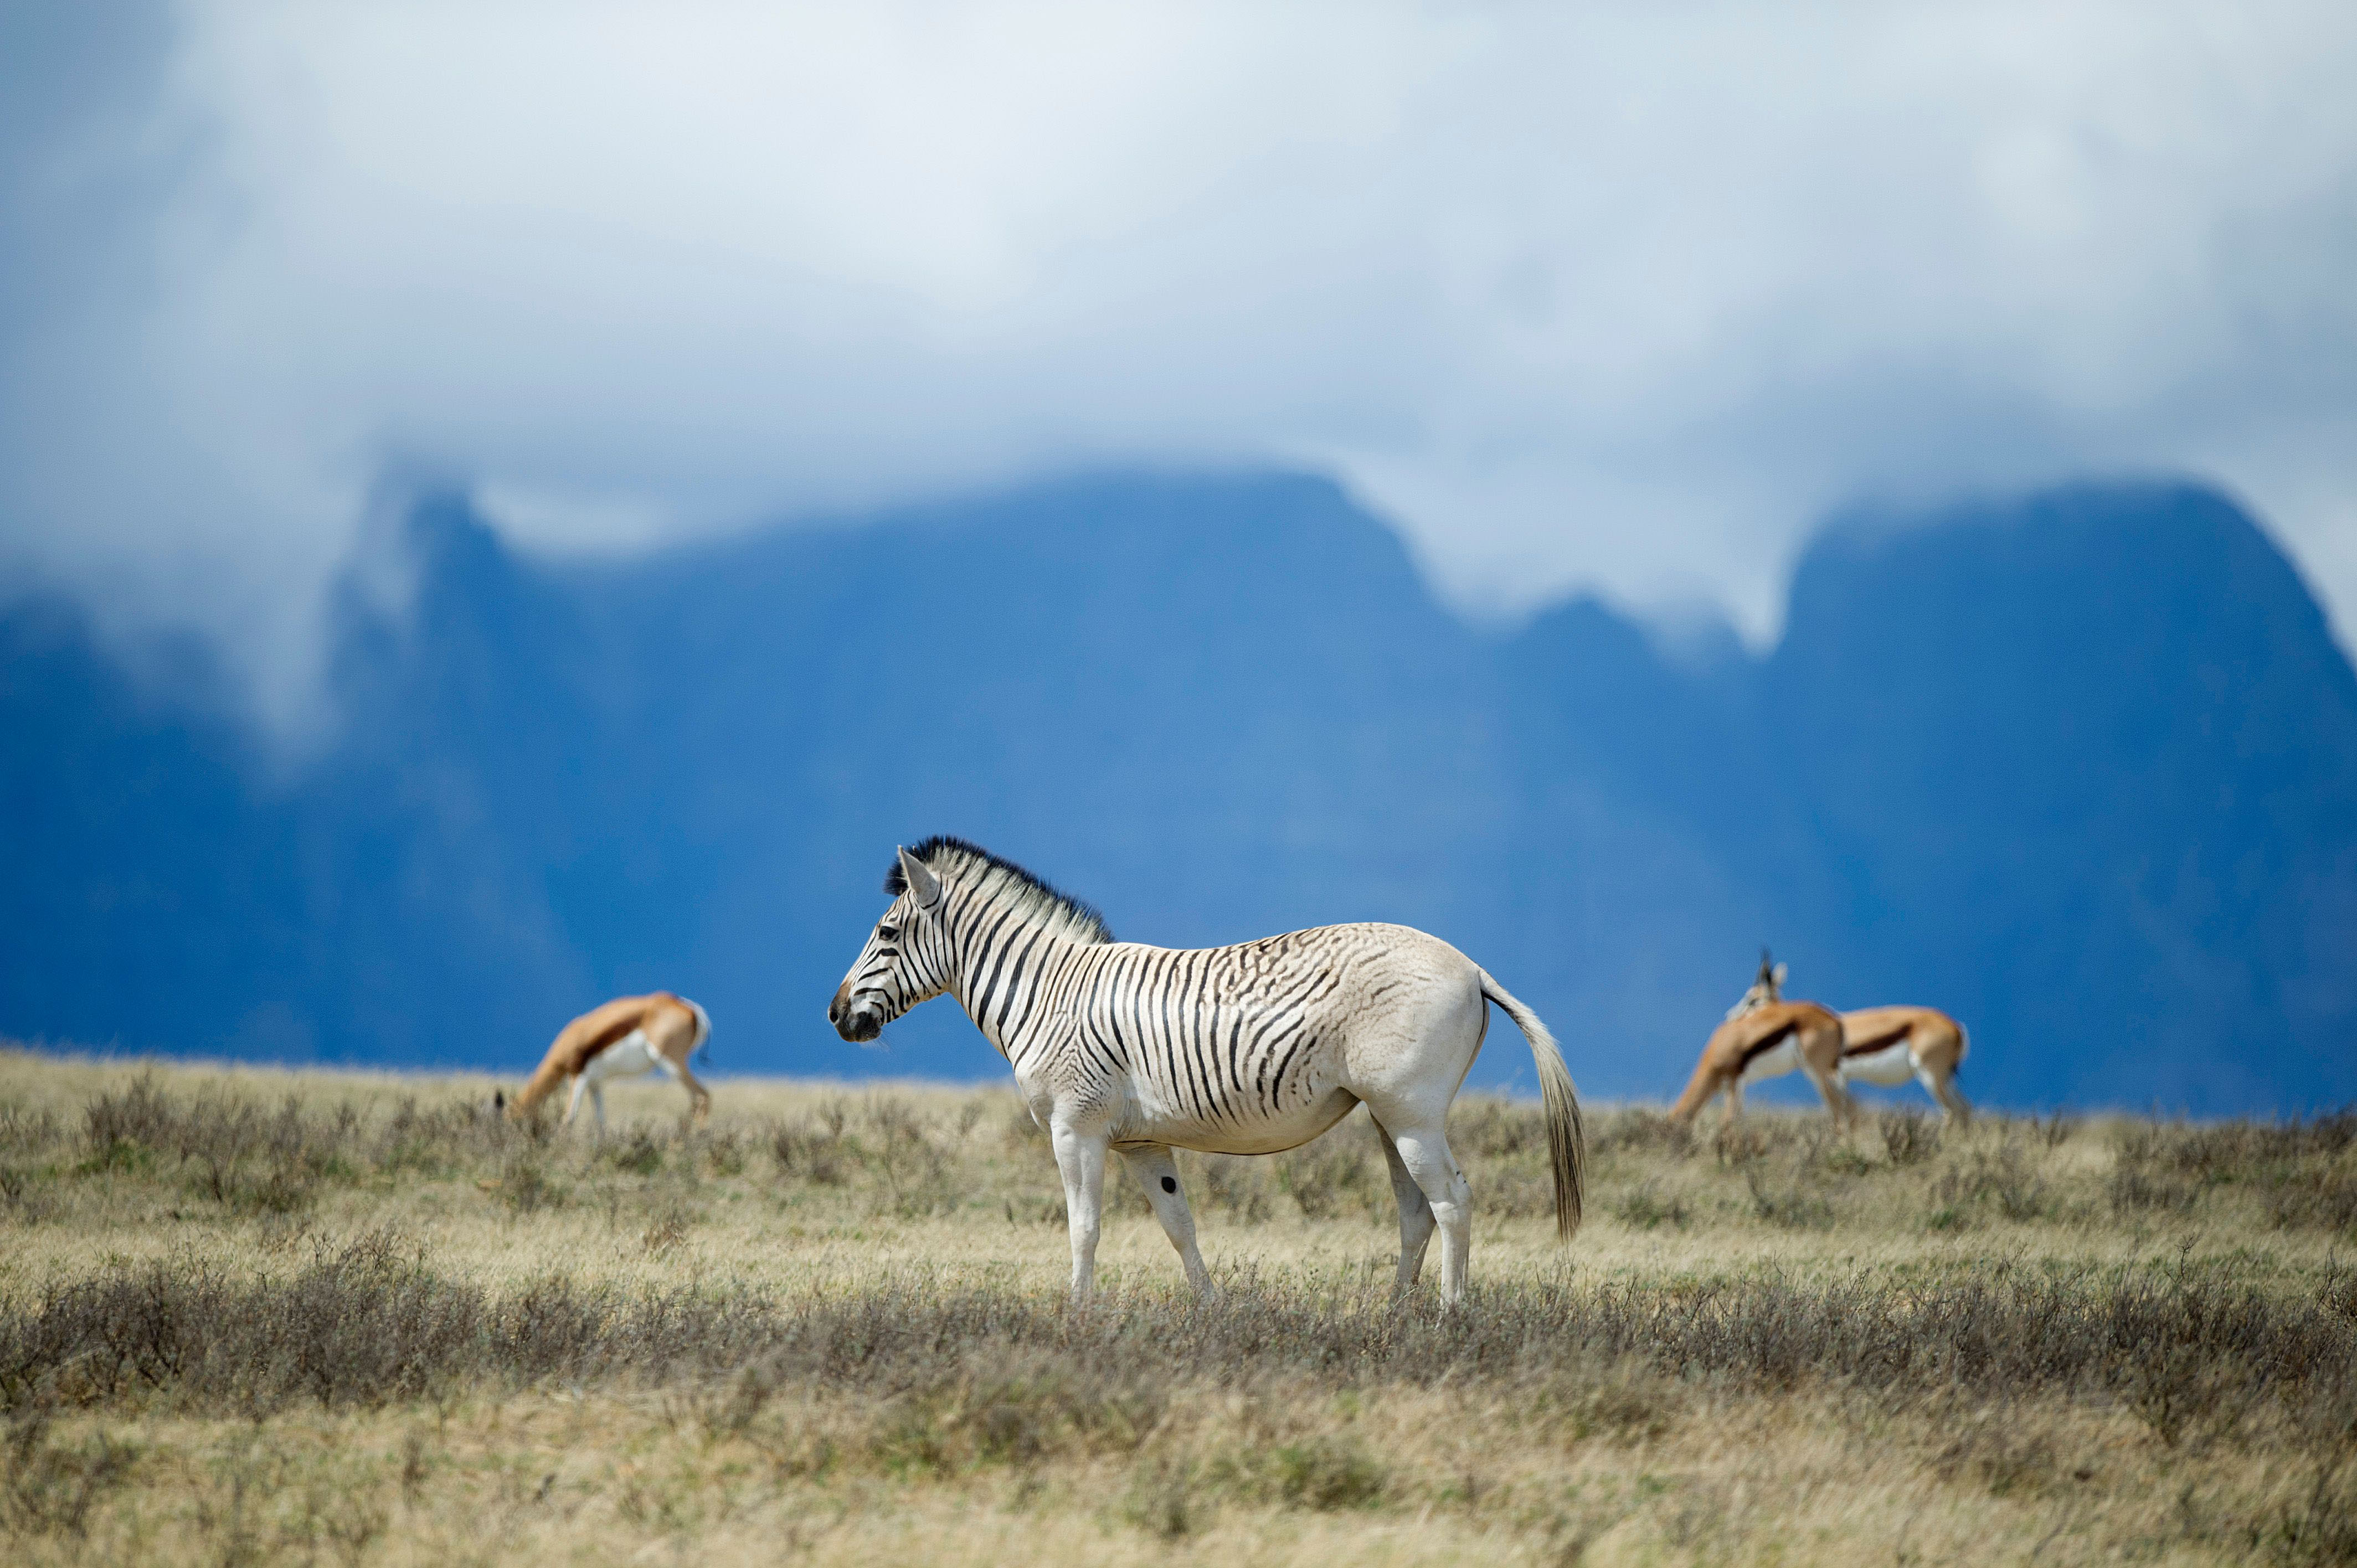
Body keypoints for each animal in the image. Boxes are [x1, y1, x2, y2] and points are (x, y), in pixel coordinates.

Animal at [830, 839, 1584, 1301]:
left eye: (886, 935)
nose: (836, 1015)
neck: (1050, 994)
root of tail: (1472, 966)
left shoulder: (1076, 1128)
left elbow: (1083, 1228)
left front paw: (1076, 1318)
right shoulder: (1140, 1142)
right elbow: (1178, 1225)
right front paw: (1212, 1312)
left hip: (1412, 1112)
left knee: (1452, 1201)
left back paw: (1448, 1317)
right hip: (1387, 1116)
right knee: (1416, 1213)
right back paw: (1393, 1315)